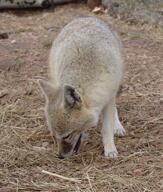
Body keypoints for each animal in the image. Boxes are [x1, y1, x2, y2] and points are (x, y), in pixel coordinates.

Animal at [38, 16, 125, 158]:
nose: (60, 157)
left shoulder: (109, 95)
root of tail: (84, 17)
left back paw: (117, 126)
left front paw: (110, 149)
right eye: (54, 136)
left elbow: (107, 127)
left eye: (67, 136)